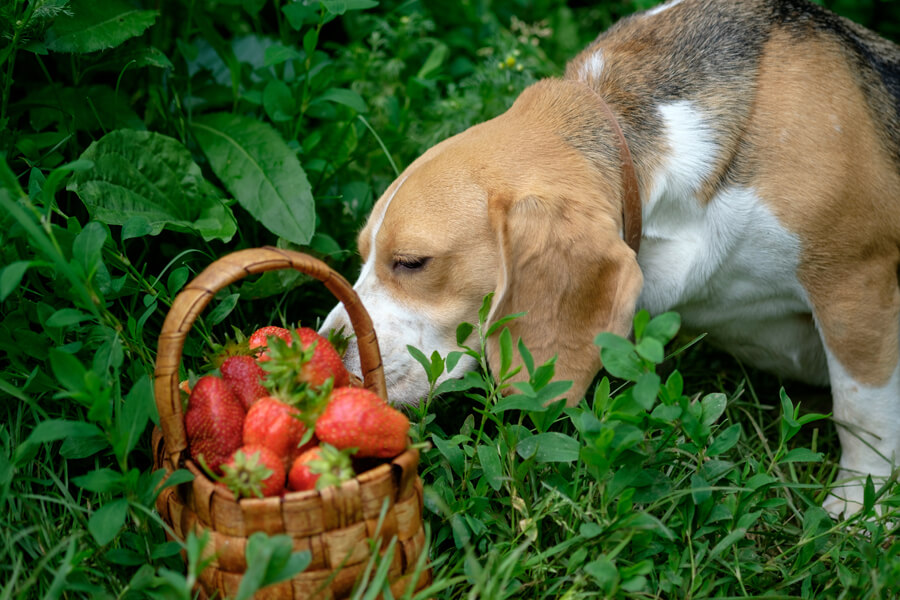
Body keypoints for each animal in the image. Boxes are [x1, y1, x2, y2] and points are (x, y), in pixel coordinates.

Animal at [324, 0, 900, 516]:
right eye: (363, 255)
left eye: (412, 262)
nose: (330, 343)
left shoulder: (856, 283)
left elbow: (862, 410)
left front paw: (860, 511)